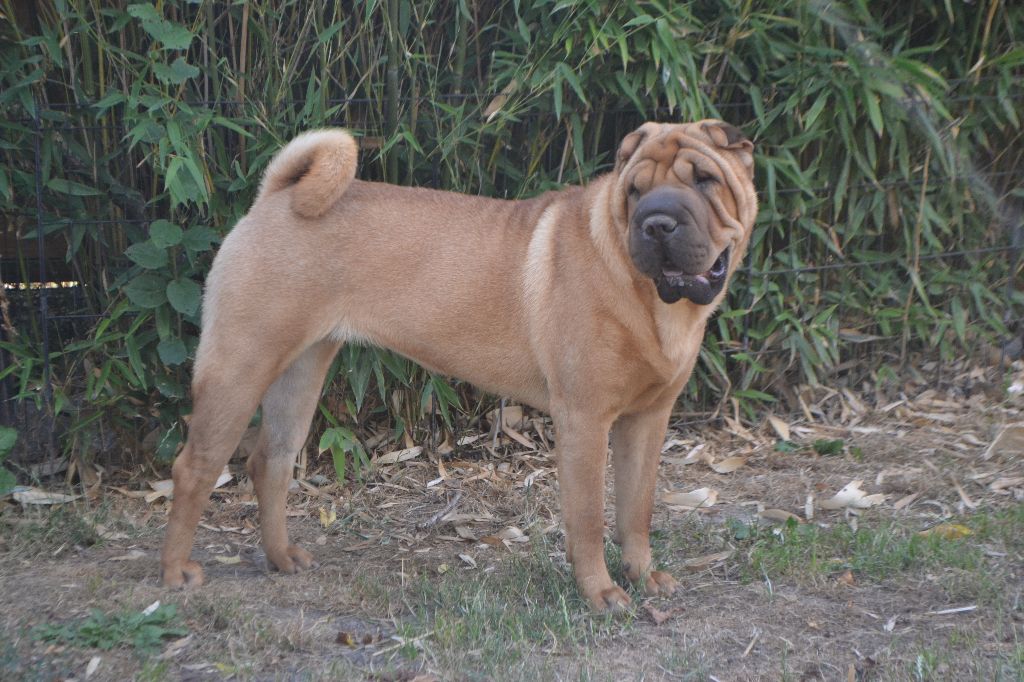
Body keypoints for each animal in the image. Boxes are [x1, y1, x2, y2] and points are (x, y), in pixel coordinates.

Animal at [157, 118, 753, 610]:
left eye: (706, 180)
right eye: (635, 191)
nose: (657, 223)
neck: (650, 298)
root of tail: (276, 197)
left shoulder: (648, 420)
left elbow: (636, 509)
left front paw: (644, 577)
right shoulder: (585, 420)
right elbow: (588, 517)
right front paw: (601, 593)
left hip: (300, 372)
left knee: (271, 461)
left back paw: (282, 558)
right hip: (240, 364)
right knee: (195, 466)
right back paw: (175, 573)